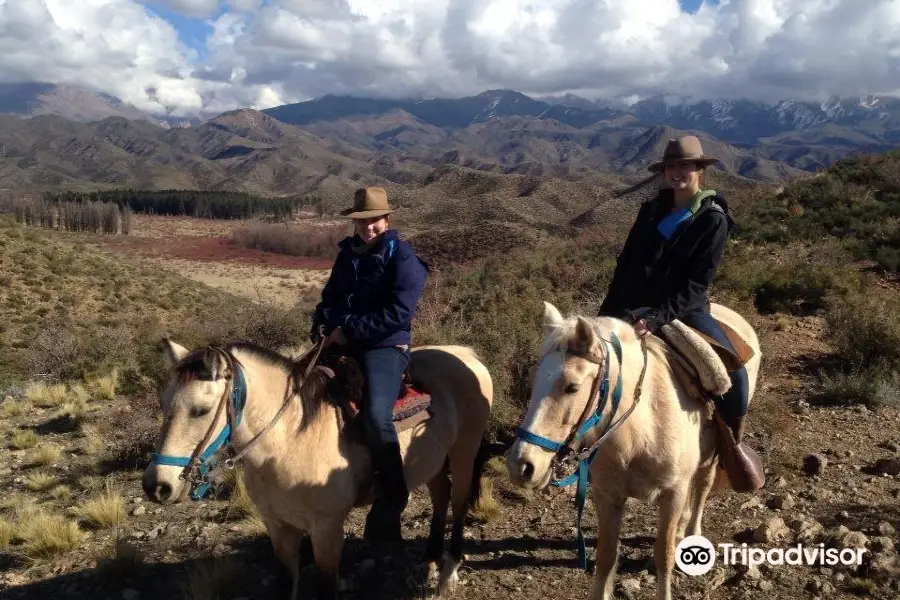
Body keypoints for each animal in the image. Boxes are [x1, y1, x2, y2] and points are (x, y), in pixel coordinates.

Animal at [142, 340, 492, 596]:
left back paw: (448, 574)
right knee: (441, 496)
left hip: (464, 453)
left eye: (200, 410)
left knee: (458, 502)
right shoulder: (278, 527)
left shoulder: (326, 530)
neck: (290, 439)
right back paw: (429, 562)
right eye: (163, 403)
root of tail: (466, 354)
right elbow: (286, 583)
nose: (156, 486)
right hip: (435, 461)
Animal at [506, 300, 760, 600]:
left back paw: (691, 532)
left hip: (712, 453)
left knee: (702, 487)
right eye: (534, 382)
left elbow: (664, 555)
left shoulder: (673, 493)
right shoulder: (607, 496)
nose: (521, 465)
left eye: (572, 387)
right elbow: (606, 556)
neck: (638, 435)